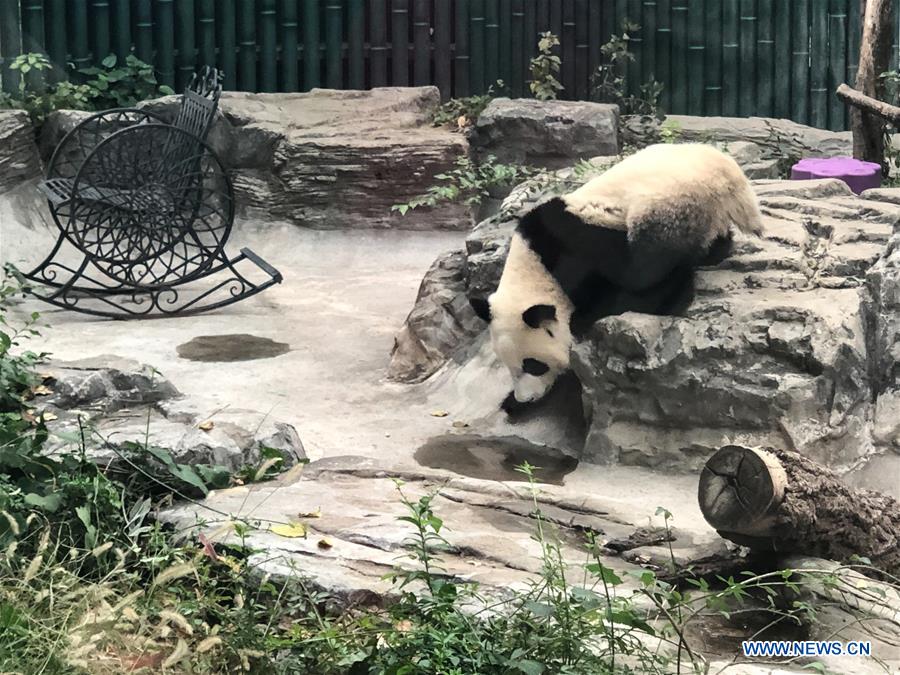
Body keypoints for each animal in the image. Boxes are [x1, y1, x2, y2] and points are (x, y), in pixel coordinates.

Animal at [469, 142, 765, 408]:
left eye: (533, 365)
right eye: (509, 366)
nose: (526, 398)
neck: (535, 269)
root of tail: (732, 175)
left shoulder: (579, 249)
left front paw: (582, 319)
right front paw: (511, 402)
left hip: (672, 201)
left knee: (647, 266)